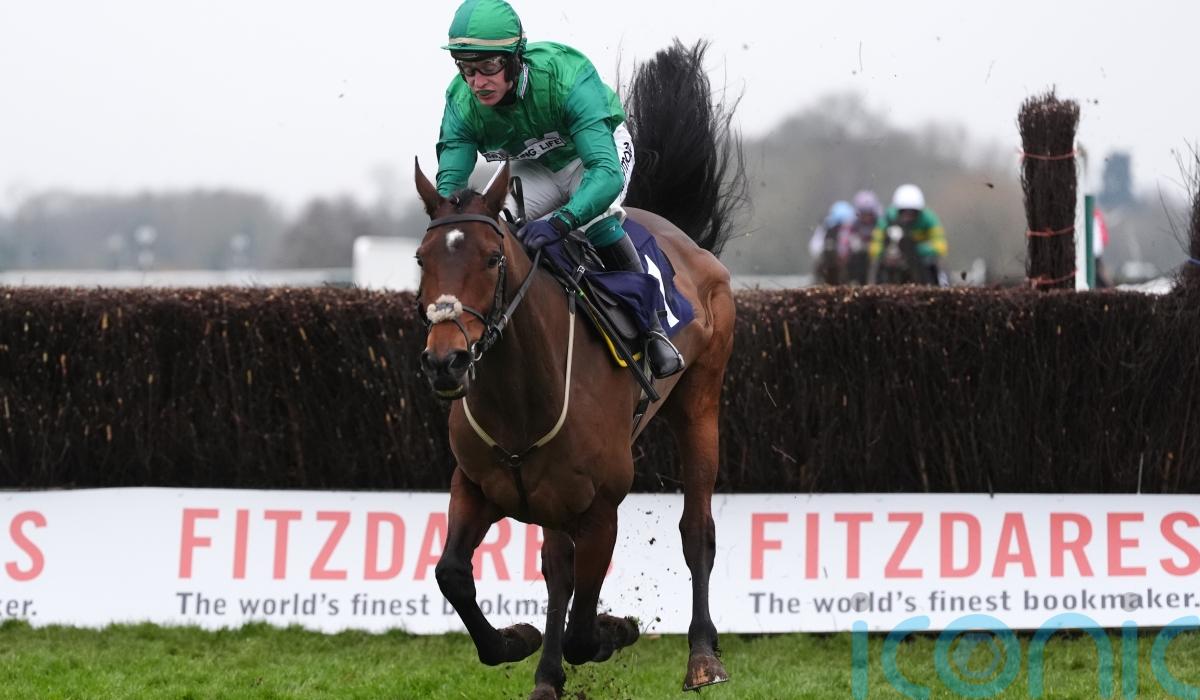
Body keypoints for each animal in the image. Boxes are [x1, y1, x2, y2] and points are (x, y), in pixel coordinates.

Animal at [414, 40, 743, 699]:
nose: (446, 361)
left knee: (697, 530)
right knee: (555, 569)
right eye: (421, 259)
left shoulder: (599, 506)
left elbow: (585, 619)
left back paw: (703, 655)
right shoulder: (477, 485)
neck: (518, 399)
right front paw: (517, 642)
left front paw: (612, 632)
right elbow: (454, 573)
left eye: (493, 259)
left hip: (700, 402)